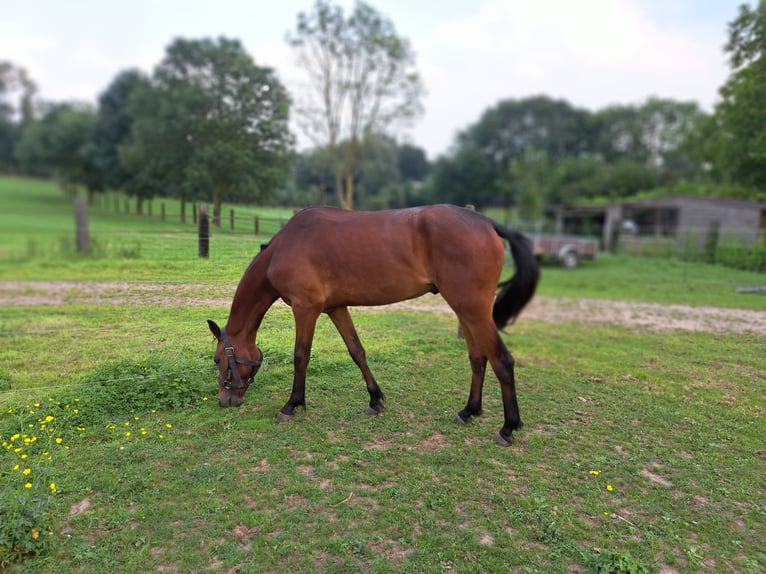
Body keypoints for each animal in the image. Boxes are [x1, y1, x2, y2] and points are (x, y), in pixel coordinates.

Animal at [206, 205, 540, 448]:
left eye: (218, 359)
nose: (225, 401)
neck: (285, 247)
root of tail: (487, 223)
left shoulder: (306, 309)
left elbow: (301, 356)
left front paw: (292, 405)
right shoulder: (335, 308)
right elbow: (357, 351)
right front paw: (375, 400)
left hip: (472, 309)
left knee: (502, 361)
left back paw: (508, 428)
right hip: (465, 310)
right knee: (477, 358)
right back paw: (468, 411)